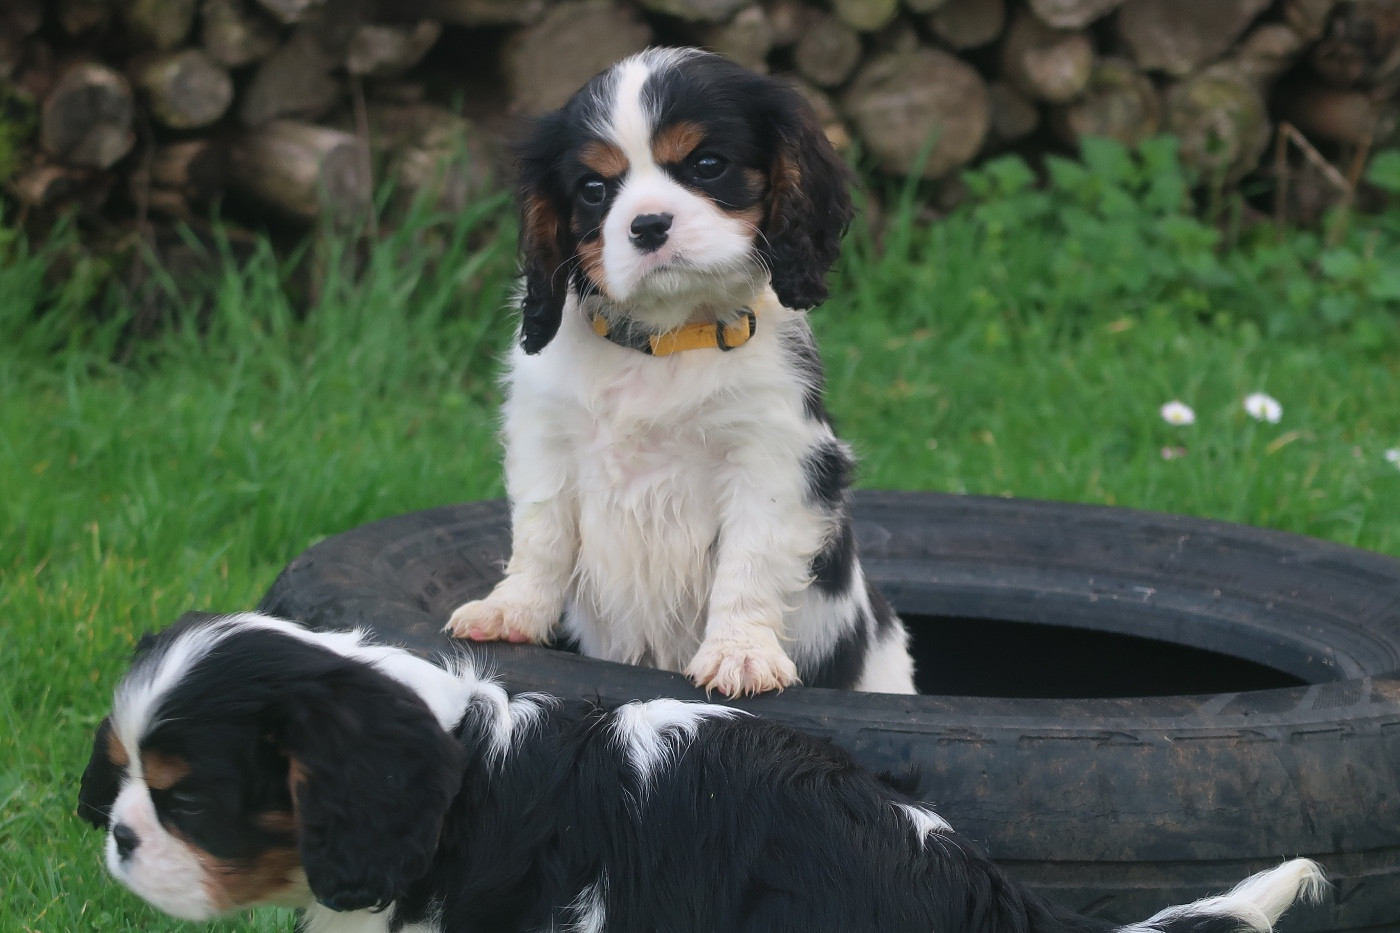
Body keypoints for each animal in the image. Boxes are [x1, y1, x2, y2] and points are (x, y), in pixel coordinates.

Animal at [444, 47, 915, 697]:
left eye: (707, 165)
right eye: (594, 188)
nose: (647, 225)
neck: (665, 338)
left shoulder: (770, 459)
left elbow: (749, 562)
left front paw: (740, 653)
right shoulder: (547, 442)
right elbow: (541, 534)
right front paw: (511, 611)